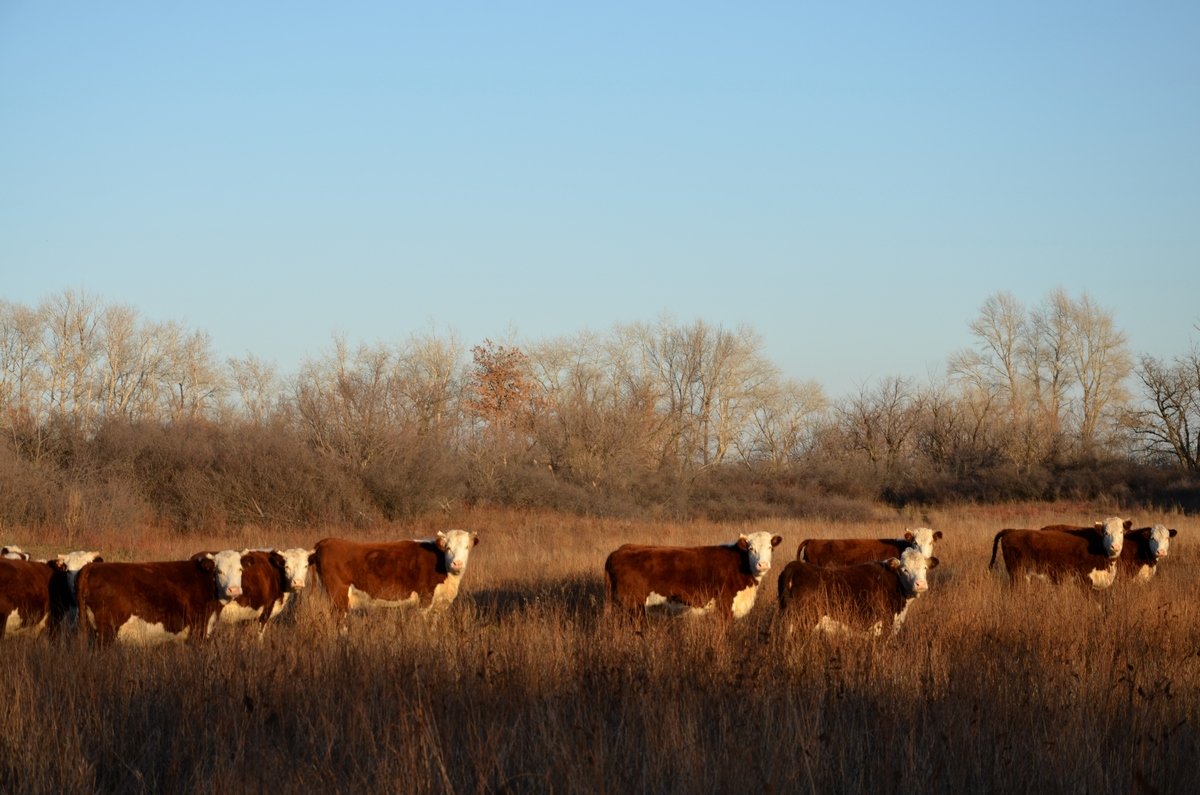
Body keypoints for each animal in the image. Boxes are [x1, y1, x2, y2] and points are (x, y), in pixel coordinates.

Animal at [73, 552, 247, 653]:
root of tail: (90, 567)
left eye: (240, 569)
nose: (234, 590)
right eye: (219, 571)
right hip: (106, 632)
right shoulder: (199, 628)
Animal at [314, 533, 482, 619]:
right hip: (338, 596)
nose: (457, 563)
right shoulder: (425, 599)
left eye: (466, 547)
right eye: (448, 547)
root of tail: (326, 541)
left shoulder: (439, 604)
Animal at [600, 533, 787, 624]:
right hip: (632, 606)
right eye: (751, 548)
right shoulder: (724, 608)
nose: (762, 565)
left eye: (770, 547)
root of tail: (619, 551)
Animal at [988, 516, 1128, 590]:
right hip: (1017, 574)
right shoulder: (1084, 581)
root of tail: (1012, 531)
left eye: (1121, 532)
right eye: (1106, 532)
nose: (1115, 546)